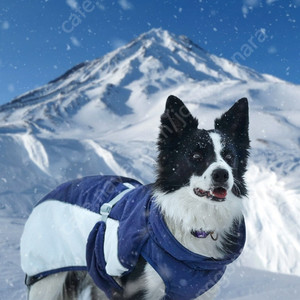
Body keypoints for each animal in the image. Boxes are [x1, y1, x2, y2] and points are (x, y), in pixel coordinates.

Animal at [21, 95, 250, 298]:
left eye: (229, 157)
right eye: (196, 156)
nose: (222, 174)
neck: (195, 223)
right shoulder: (138, 289)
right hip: (47, 281)